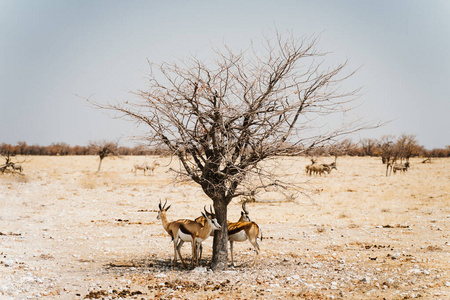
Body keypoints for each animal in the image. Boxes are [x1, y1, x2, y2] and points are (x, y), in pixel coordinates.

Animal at [93, 33, 378, 272]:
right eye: (244, 213)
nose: (223, 224)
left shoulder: (200, 238)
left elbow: (208, 249)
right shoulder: (208, 239)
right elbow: (218, 249)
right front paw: (221, 264)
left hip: (225, 240)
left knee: (246, 249)